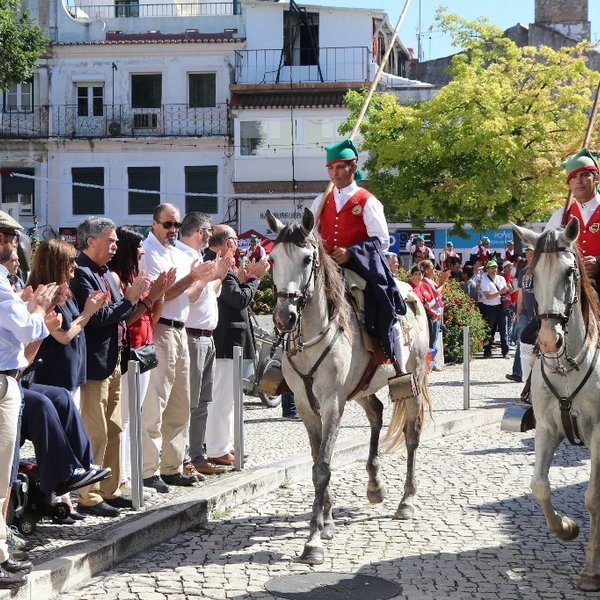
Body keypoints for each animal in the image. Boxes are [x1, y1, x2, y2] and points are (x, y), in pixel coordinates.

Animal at [268, 209, 432, 564]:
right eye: (272, 259)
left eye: (306, 259)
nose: (284, 316)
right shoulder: (306, 405)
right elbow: (317, 459)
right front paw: (327, 521)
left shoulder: (332, 403)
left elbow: (322, 467)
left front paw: (313, 541)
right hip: (361, 389)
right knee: (376, 413)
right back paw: (375, 485)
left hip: (411, 382)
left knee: (411, 436)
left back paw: (407, 501)